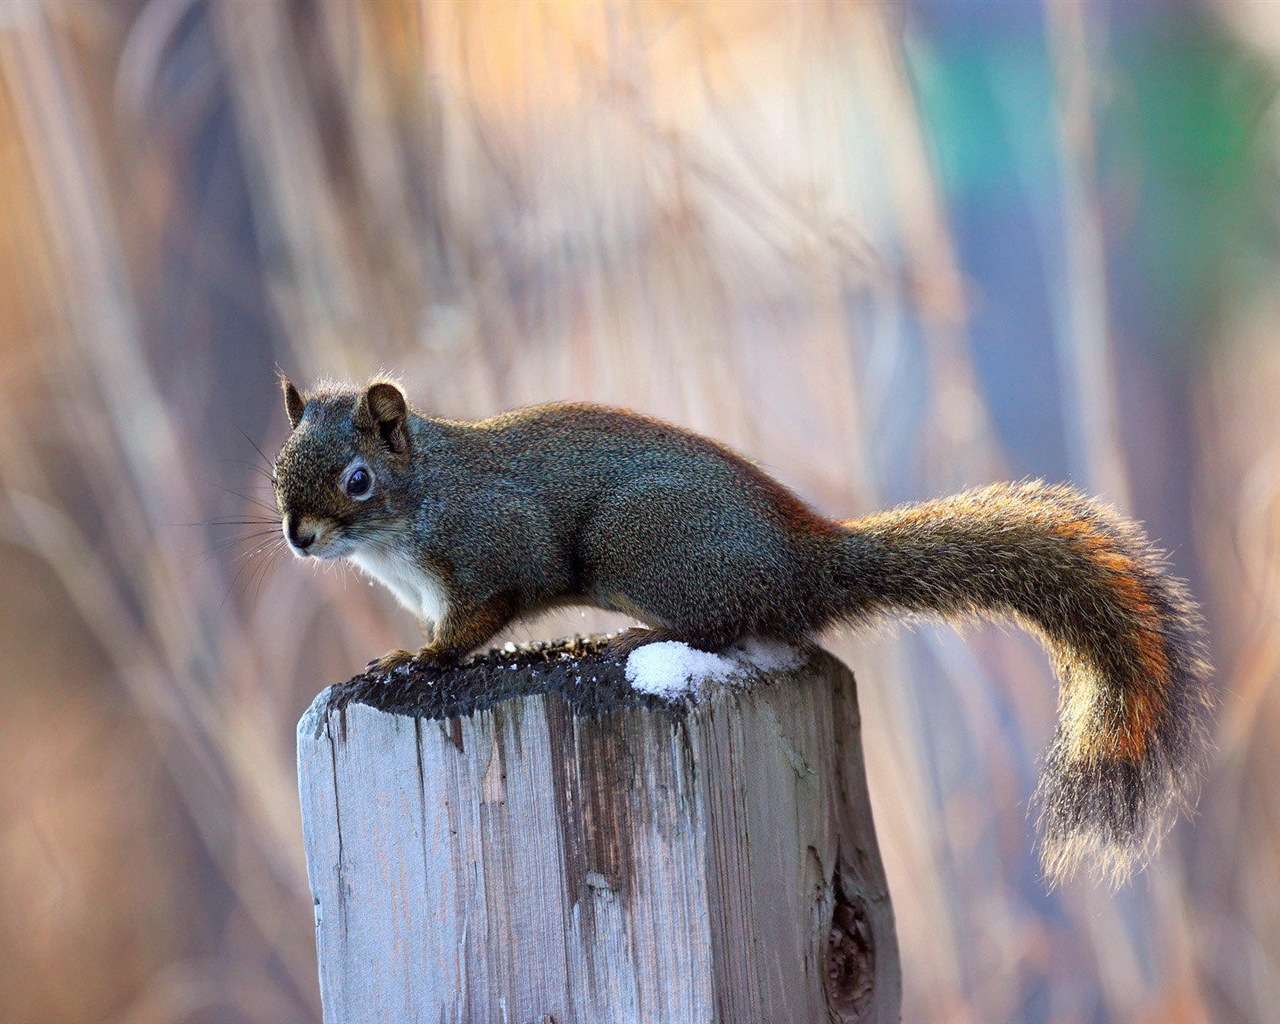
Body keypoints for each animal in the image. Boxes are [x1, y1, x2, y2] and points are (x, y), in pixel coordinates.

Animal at [272, 376, 1208, 880]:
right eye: (279, 470)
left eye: (357, 479)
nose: (297, 537)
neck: (414, 509)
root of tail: (801, 558)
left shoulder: (496, 551)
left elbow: (477, 621)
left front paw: (414, 659)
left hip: (639, 545)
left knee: (723, 625)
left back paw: (631, 642)